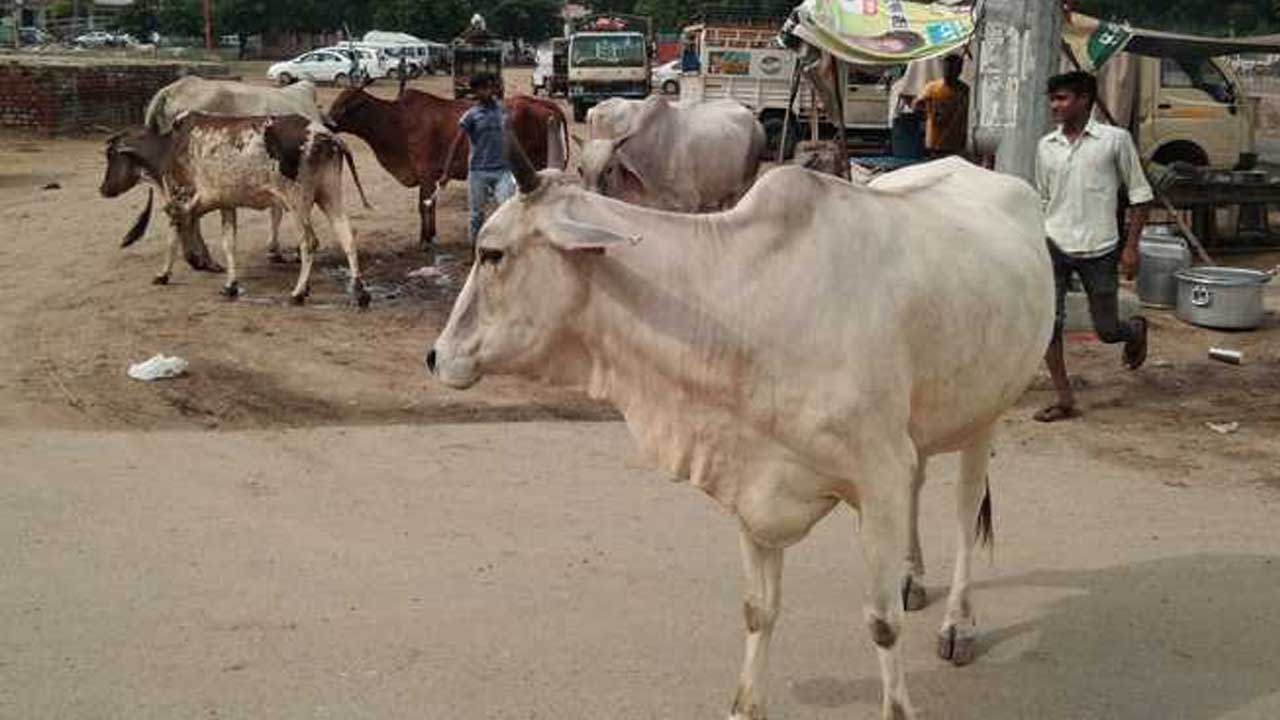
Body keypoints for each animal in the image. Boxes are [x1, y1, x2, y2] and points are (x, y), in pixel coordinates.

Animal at [99, 113, 372, 307]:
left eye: (111, 156)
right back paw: (360, 292)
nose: (103, 189)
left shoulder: (181, 200)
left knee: (309, 242)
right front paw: (230, 285)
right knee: (347, 236)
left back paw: (298, 292)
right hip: (330, 196)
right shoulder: (226, 205)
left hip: (298, 202)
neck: (169, 148)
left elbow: (173, 238)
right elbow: (228, 244)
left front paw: (163, 274)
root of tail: (325, 134)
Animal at [138, 75, 328, 271]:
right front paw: (289, 250)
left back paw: (195, 259)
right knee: (190, 214)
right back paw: (203, 259)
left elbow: (276, 211)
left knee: (181, 210)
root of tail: (172, 89)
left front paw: (275, 250)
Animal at [326, 87, 568, 247]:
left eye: (346, 105)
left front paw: (425, 239)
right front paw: (430, 235)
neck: (396, 121)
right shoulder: (429, 176)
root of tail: (545, 103)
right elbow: (429, 205)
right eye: (335, 100)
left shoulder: (425, 171)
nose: (327, 121)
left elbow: (423, 206)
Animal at [427, 141, 1055, 720]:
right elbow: (758, 610)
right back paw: (911, 576)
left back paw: (958, 623)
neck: (744, 304)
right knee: (921, 484)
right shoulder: (755, 476)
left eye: (491, 253)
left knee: (965, 512)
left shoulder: (878, 473)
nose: (436, 357)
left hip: (987, 412)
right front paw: (745, 705)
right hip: (918, 429)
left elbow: (881, 623)